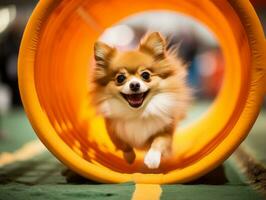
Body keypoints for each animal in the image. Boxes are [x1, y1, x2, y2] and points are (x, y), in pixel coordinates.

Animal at [91, 31, 191, 169]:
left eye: (145, 75)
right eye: (120, 78)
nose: (134, 85)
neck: (138, 112)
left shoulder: (166, 129)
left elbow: (159, 141)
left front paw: (152, 159)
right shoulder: (112, 129)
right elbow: (122, 144)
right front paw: (129, 158)